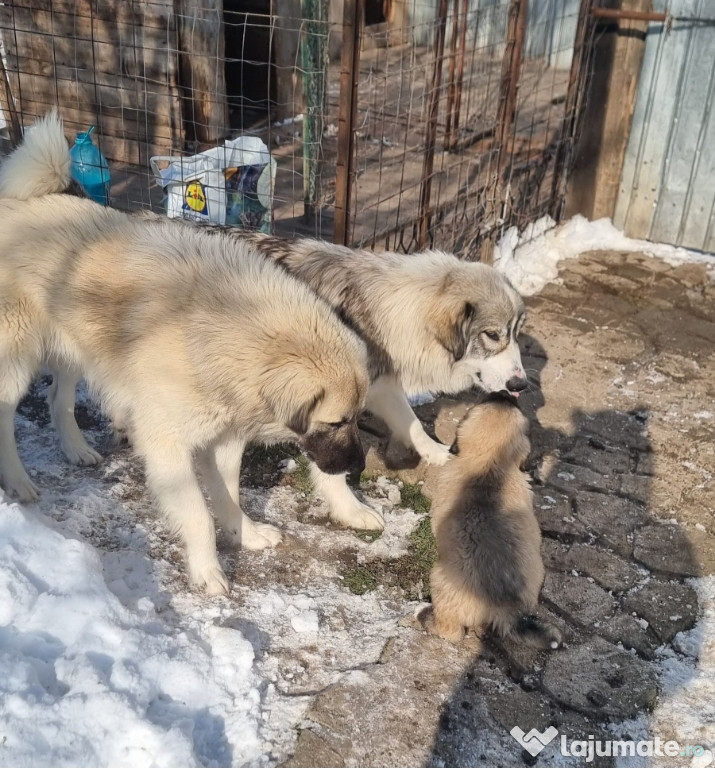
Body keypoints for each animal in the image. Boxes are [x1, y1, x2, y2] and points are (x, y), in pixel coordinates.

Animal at [0, 112, 372, 592]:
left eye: (358, 418)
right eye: (336, 422)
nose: (358, 466)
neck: (234, 331)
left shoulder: (225, 440)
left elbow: (228, 494)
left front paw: (245, 533)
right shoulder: (168, 446)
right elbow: (198, 514)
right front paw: (208, 570)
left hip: (75, 349)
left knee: (57, 399)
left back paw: (76, 449)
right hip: (17, 358)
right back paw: (19, 482)